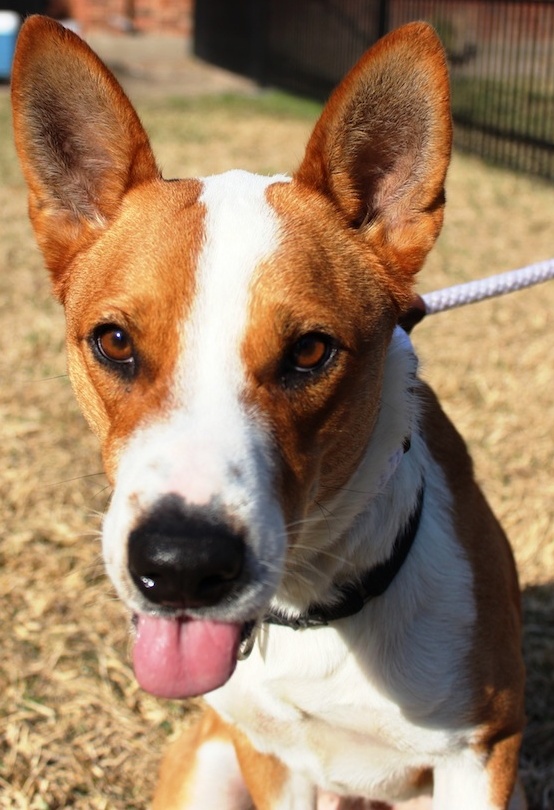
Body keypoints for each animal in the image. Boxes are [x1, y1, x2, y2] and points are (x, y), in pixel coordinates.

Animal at [10, 17, 524, 808]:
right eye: (115, 341)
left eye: (310, 351)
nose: (180, 567)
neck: (313, 607)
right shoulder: (269, 753)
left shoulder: (482, 753)